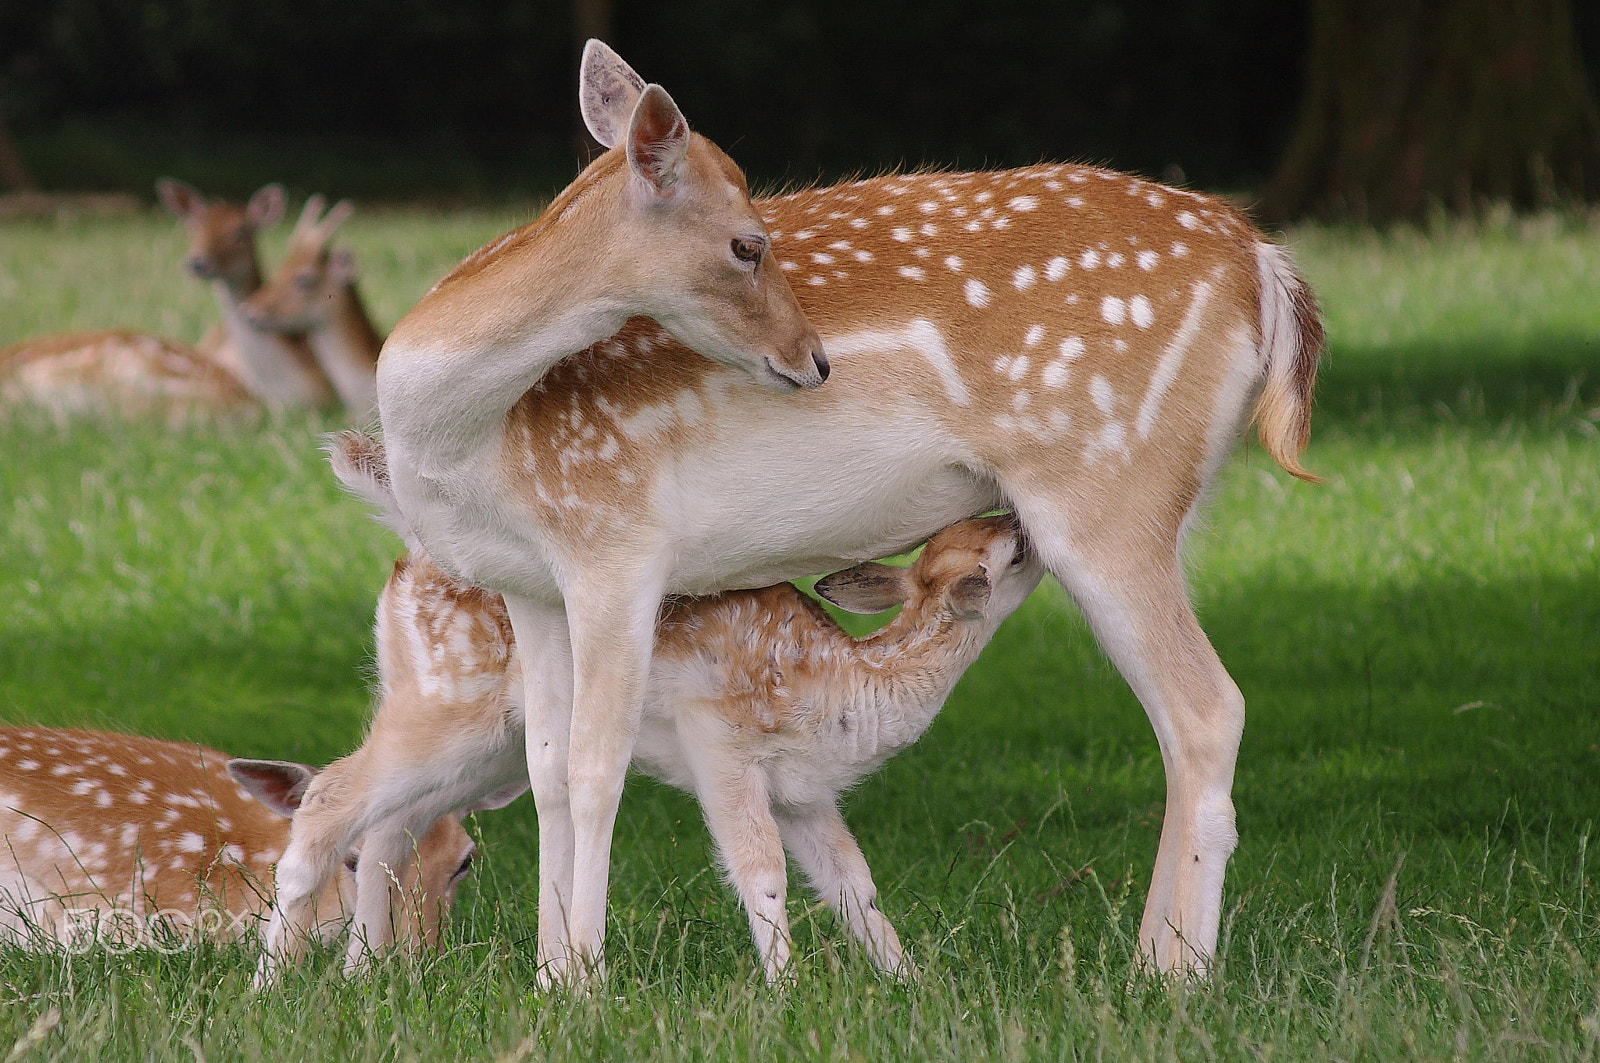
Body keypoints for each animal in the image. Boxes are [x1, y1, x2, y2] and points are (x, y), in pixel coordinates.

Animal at [256, 429, 1043, 986]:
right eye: (1001, 550)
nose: (1024, 522)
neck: (843, 689)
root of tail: (411, 552)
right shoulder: (719, 739)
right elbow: (762, 873)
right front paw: (787, 990)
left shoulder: (804, 792)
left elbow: (857, 885)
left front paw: (912, 983)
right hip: (445, 699)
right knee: (329, 796)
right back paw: (271, 986)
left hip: (485, 744)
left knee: (389, 826)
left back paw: (362, 977)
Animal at [374, 43, 1324, 986]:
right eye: (748, 243)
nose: (813, 359)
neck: (475, 445)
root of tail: (1263, 262)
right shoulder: (529, 582)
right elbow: (547, 776)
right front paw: (549, 978)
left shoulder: (617, 544)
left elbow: (595, 767)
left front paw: (586, 981)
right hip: (1159, 507)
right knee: (1175, 722)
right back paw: (1151, 963)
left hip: (1106, 490)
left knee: (1208, 707)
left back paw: (1177, 977)